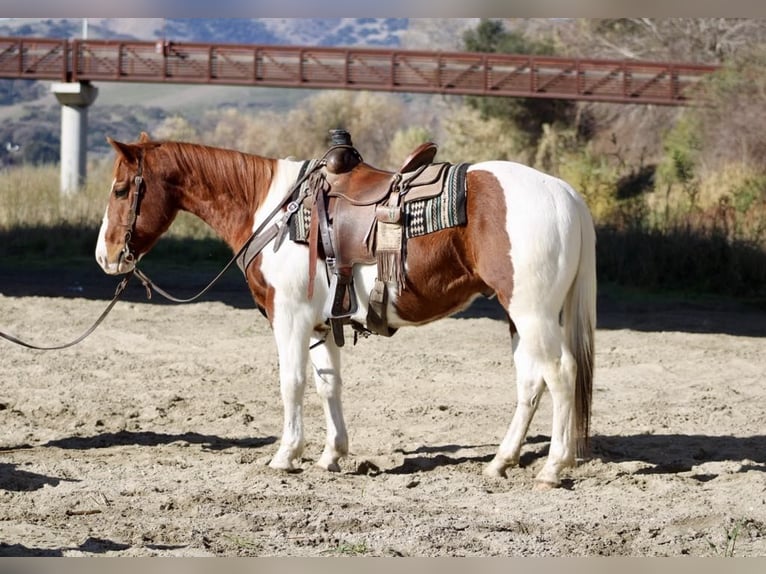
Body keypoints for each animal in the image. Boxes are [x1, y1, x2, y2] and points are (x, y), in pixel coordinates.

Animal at [95, 133, 597, 489]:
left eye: (120, 190)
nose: (106, 257)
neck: (274, 210)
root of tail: (567, 195)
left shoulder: (290, 318)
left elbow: (292, 383)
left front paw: (285, 456)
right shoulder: (319, 323)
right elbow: (327, 384)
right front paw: (331, 455)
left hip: (532, 313)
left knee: (561, 374)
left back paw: (553, 468)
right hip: (520, 317)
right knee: (531, 381)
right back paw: (500, 463)